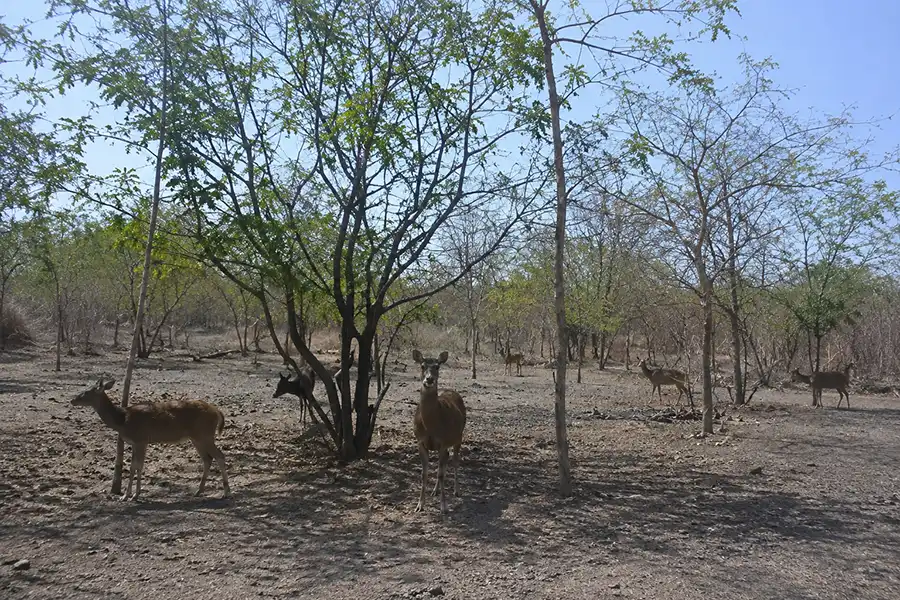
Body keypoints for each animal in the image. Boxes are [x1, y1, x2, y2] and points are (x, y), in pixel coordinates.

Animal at [71, 378, 231, 501]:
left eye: (86, 392)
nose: (72, 400)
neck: (122, 420)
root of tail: (217, 411)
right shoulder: (136, 442)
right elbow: (133, 466)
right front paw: (126, 496)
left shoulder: (141, 439)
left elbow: (138, 466)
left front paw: (134, 495)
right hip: (197, 438)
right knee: (207, 459)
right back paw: (199, 491)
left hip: (205, 435)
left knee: (219, 456)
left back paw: (226, 492)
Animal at [412, 349, 467, 515]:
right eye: (422, 366)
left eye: (437, 366)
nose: (429, 379)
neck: (430, 424)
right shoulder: (421, 442)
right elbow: (424, 473)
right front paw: (419, 505)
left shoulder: (442, 442)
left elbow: (441, 473)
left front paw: (444, 506)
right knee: (445, 462)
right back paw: (435, 491)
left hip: (459, 436)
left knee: (455, 461)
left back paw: (456, 490)